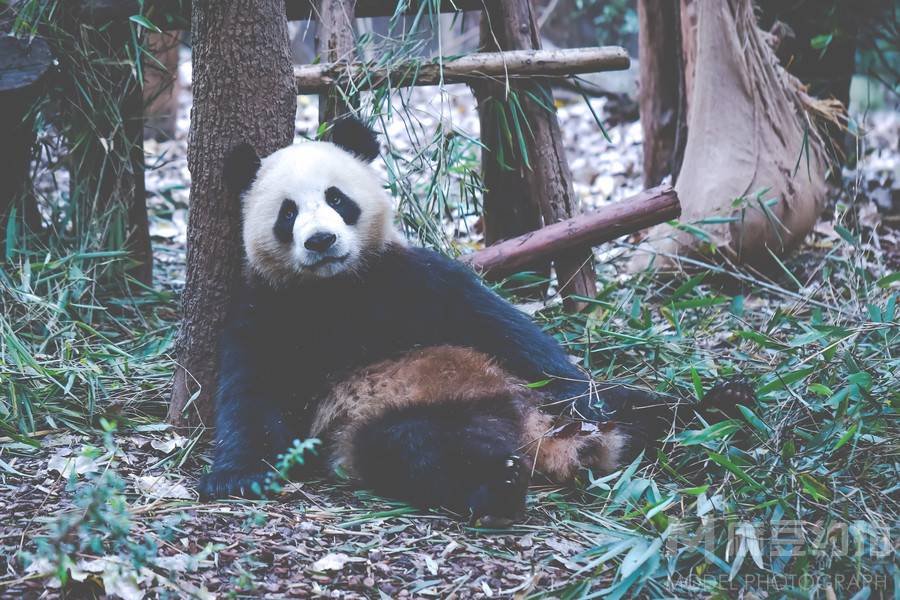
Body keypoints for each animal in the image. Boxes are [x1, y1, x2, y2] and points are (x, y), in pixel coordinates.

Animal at [199, 117, 752, 524]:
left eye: (337, 198)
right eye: (288, 213)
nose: (321, 241)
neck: (337, 288)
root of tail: (540, 435)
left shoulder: (411, 277)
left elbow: (502, 324)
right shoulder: (272, 307)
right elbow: (251, 391)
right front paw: (236, 476)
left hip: (548, 396)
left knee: (628, 403)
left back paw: (720, 405)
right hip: (380, 420)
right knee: (420, 451)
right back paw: (498, 484)